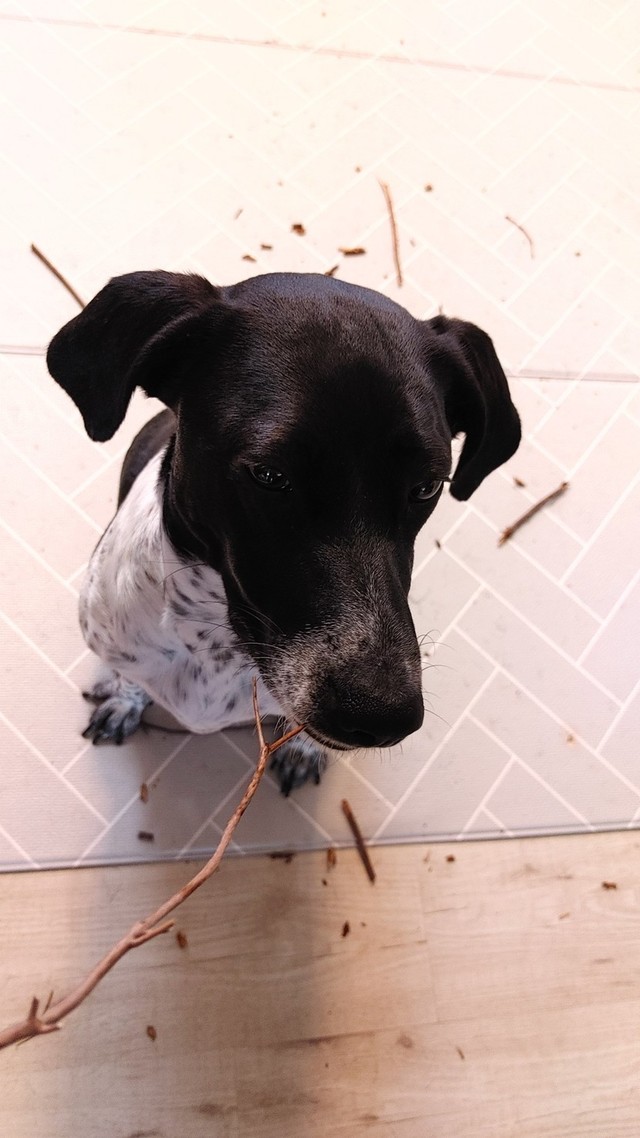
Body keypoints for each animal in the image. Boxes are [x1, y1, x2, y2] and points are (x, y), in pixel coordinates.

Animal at [47, 270, 520, 794]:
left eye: (428, 485)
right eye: (269, 475)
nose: (382, 718)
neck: (216, 644)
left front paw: (303, 750)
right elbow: (131, 677)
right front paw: (123, 698)